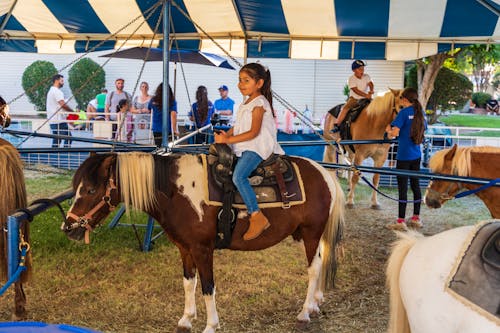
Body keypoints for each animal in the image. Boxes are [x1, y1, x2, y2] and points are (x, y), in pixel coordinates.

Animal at [63, 152, 344, 330]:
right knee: (321, 260)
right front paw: (186, 319)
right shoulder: (185, 248)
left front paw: (211, 325)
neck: (177, 192)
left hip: (310, 232)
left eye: (90, 189)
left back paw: (305, 313)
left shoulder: (203, 249)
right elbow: (189, 283)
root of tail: (325, 173)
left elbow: (208, 287)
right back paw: (316, 303)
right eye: (76, 187)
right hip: (308, 235)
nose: (68, 227)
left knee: (313, 268)